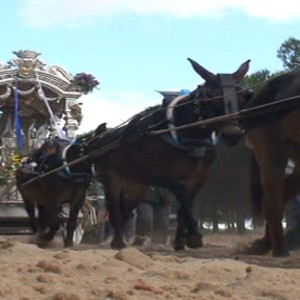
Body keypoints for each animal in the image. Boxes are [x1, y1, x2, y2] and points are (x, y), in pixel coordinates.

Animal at [86, 58, 251, 251]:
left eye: (243, 96)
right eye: (212, 96)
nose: (232, 134)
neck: (185, 135)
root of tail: (100, 138)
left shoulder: (198, 177)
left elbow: (186, 204)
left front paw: (180, 240)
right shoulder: (159, 175)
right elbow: (183, 195)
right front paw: (194, 236)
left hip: (136, 183)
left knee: (126, 209)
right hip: (112, 178)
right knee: (114, 208)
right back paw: (117, 239)